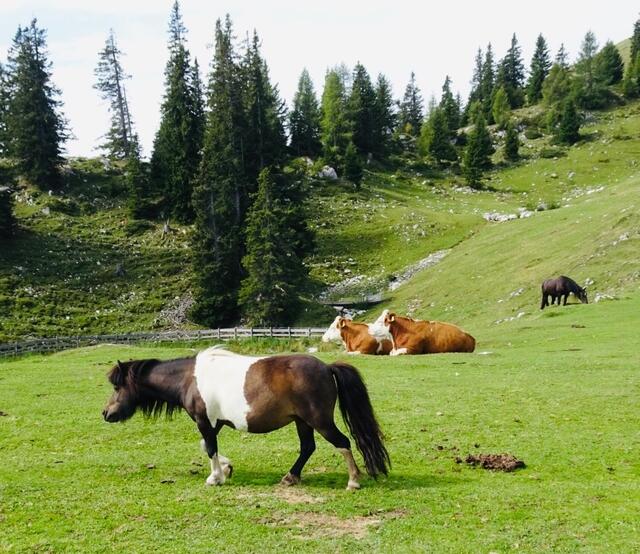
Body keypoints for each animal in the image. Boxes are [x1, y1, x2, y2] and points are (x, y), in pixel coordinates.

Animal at [102, 347, 390, 490]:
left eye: (117, 386)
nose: (106, 413)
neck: (189, 378)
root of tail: (327, 367)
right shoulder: (214, 423)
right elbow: (206, 446)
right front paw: (227, 469)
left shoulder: (205, 421)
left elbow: (209, 449)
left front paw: (215, 478)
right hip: (303, 421)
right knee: (308, 447)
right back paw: (290, 477)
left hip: (319, 421)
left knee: (343, 443)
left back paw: (353, 481)